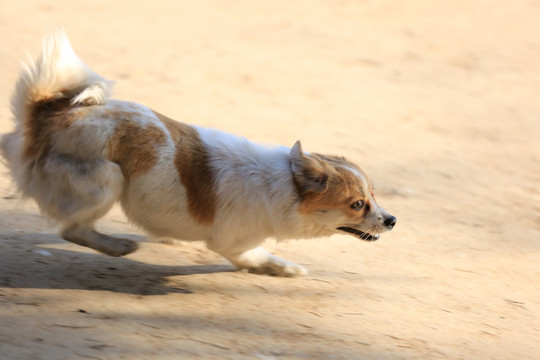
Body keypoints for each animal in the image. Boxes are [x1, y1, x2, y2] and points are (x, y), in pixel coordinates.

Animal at [1, 31, 396, 276]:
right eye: (358, 204)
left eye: (374, 196)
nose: (393, 220)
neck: (284, 187)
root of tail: (49, 114)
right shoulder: (232, 244)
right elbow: (256, 257)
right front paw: (282, 267)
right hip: (108, 180)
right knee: (71, 228)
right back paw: (116, 246)